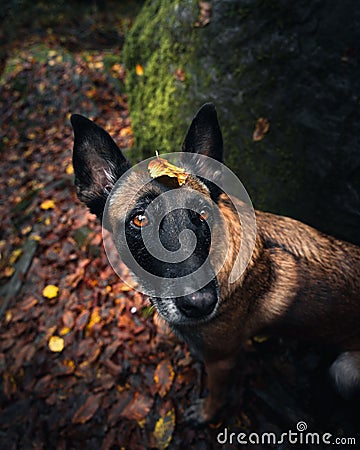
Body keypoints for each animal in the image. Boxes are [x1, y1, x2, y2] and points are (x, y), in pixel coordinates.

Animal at [71, 103, 360, 426]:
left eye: (202, 215)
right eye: (140, 219)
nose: (201, 304)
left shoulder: (222, 362)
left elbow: (217, 394)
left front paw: (207, 414)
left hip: (344, 369)